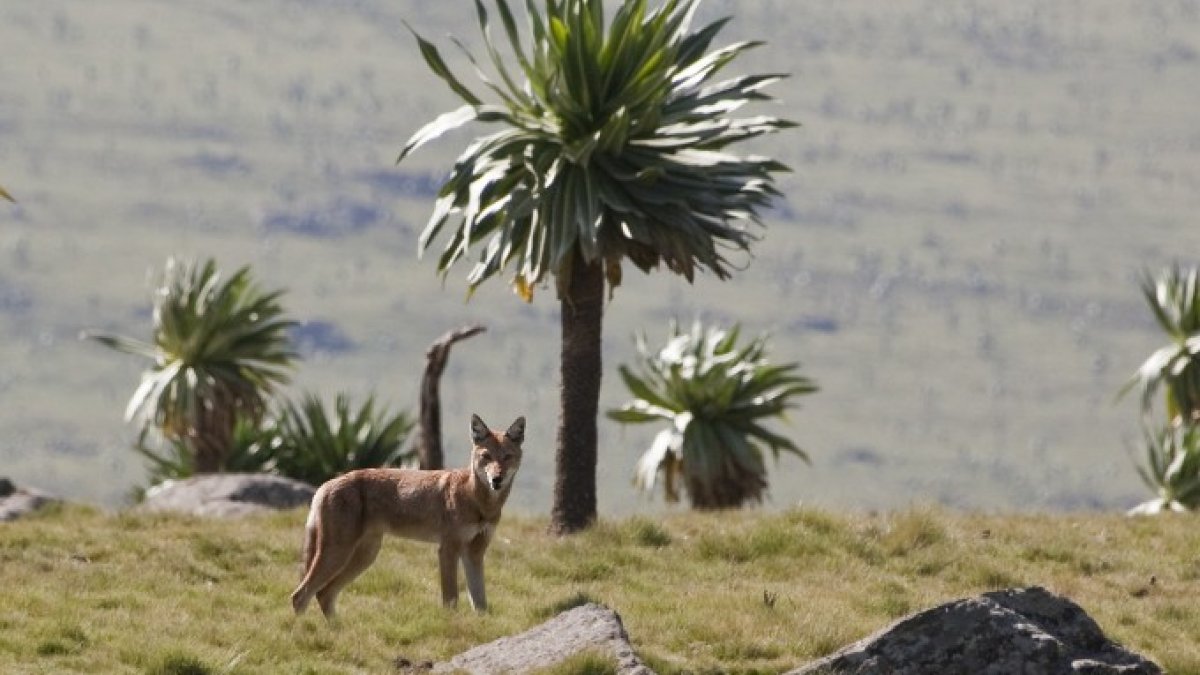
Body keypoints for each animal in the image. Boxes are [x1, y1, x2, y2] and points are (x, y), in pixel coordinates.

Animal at [290, 414, 524, 618]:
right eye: (487, 457)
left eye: (507, 457)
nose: (496, 479)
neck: (480, 503)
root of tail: (325, 484)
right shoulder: (448, 550)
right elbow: (451, 600)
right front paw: (451, 626)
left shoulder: (475, 553)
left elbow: (480, 604)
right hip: (339, 553)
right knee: (300, 595)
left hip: (364, 556)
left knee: (324, 594)